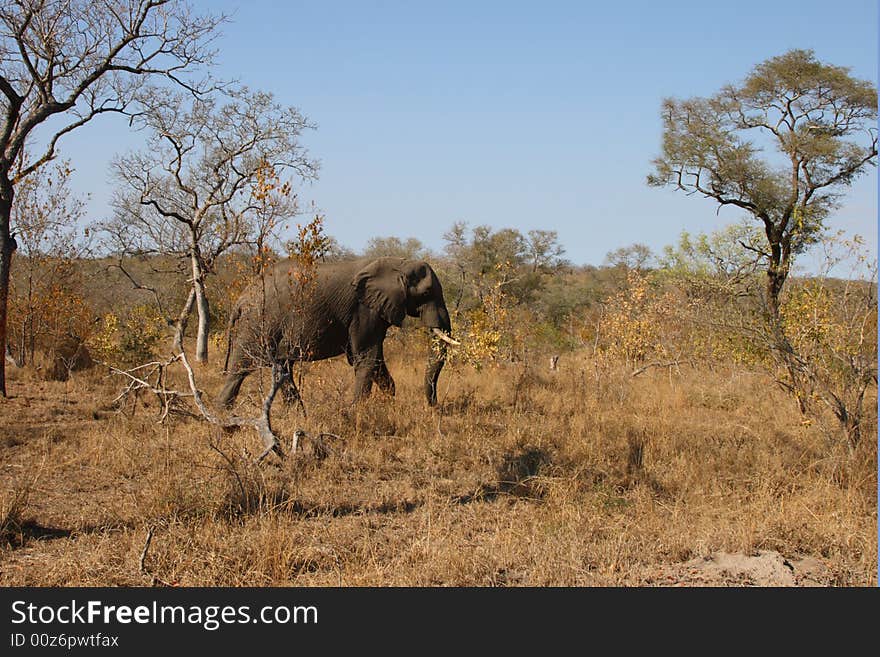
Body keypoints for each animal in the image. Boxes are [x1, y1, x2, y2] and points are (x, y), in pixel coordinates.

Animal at [217, 256, 460, 410]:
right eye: (426, 293)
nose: (434, 407)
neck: (398, 263)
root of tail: (242, 297)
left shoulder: (376, 309)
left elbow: (375, 360)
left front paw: (387, 404)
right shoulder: (363, 309)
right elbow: (365, 357)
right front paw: (355, 413)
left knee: (281, 368)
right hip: (258, 321)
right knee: (241, 369)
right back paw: (223, 420)